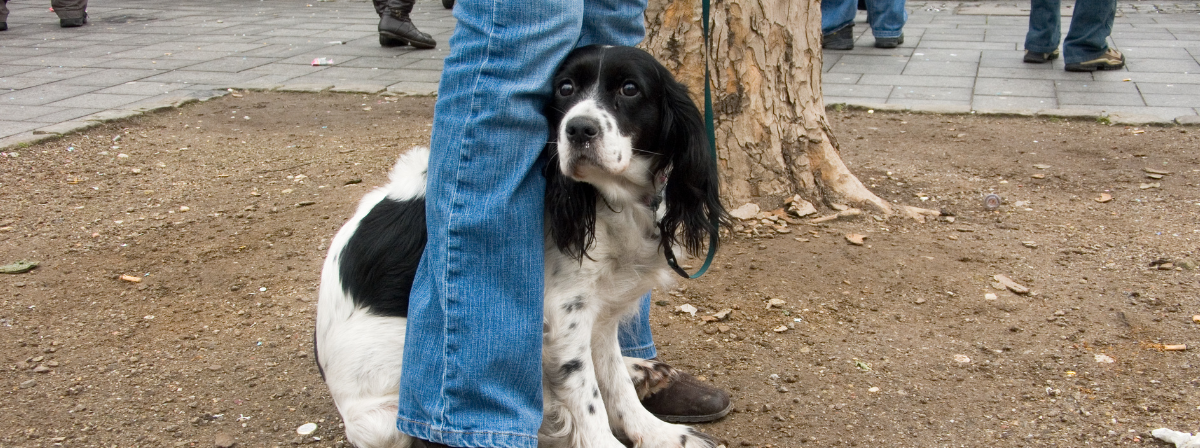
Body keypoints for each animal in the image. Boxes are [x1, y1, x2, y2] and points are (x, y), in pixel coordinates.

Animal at [319, 44, 724, 446]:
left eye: (629, 89)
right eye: (564, 87)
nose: (578, 129)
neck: (607, 200)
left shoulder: (602, 304)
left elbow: (613, 381)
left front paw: (660, 433)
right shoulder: (564, 310)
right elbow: (585, 393)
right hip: (382, 420)